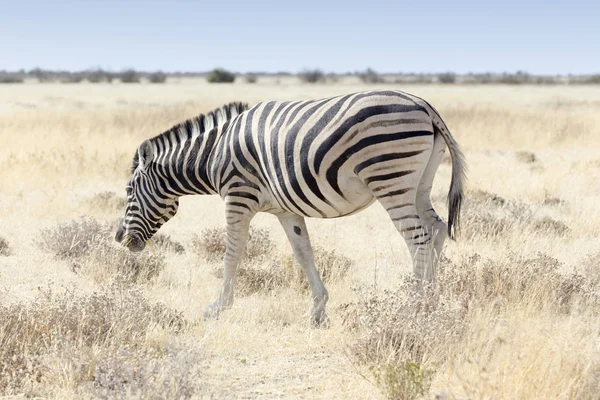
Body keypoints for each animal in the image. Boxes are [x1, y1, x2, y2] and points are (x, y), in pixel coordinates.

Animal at [115, 90, 466, 324]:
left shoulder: (238, 196)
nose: (119, 239)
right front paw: (318, 309)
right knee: (436, 230)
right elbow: (303, 251)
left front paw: (218, 306)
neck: (213, 152)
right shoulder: (286, 209)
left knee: (417, 237)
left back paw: (413, 304)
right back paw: (433, 299)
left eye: (129, 191)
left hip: (390, 178)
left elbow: (232, 253)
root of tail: (424, 105)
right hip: (420, 183)